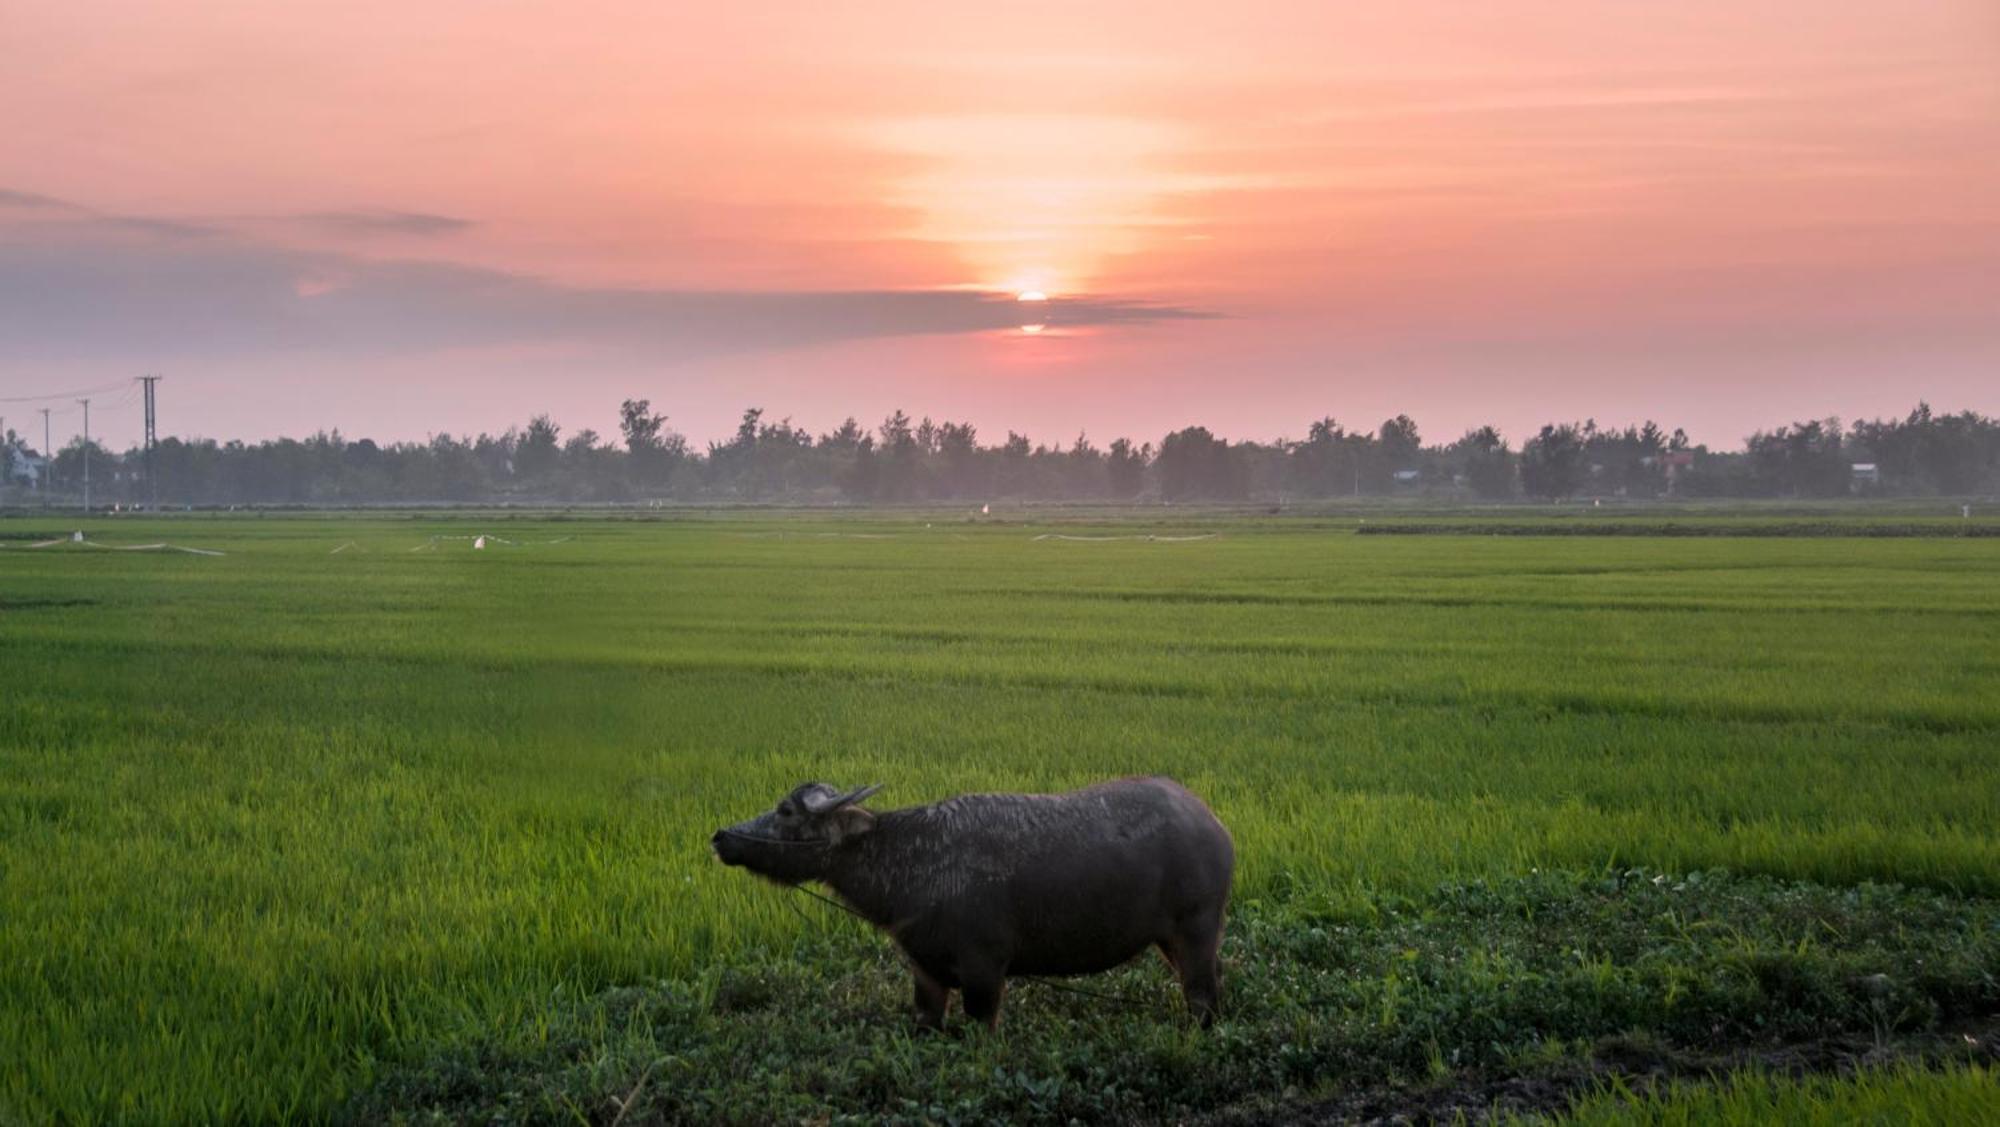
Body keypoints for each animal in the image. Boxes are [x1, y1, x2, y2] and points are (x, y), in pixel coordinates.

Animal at [712, 775, 1224, 1031]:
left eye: (786, 811)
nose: (720, 836)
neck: (914, 858)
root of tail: (1214, 822)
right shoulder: (925, 970)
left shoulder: (985, 971)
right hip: (1169, 941)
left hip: (1199, 931)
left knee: (1204, 997)